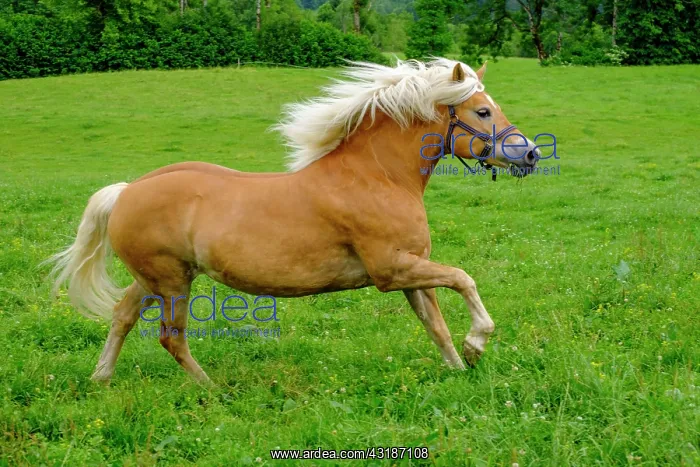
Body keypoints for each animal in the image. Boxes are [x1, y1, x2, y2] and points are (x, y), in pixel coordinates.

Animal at [47, 58, 540, 384]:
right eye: (482, 111)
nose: (531, 154)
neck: (377, 177)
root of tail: (127, 191)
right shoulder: (391, 269)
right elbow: (463, 278)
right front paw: (477, 345)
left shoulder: (410, 269)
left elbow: (435, 323)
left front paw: (459, 369)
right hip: (171, 283)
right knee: (172, 338)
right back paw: (212, 389)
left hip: (155, 279)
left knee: (121, 316)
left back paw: (101, 379)